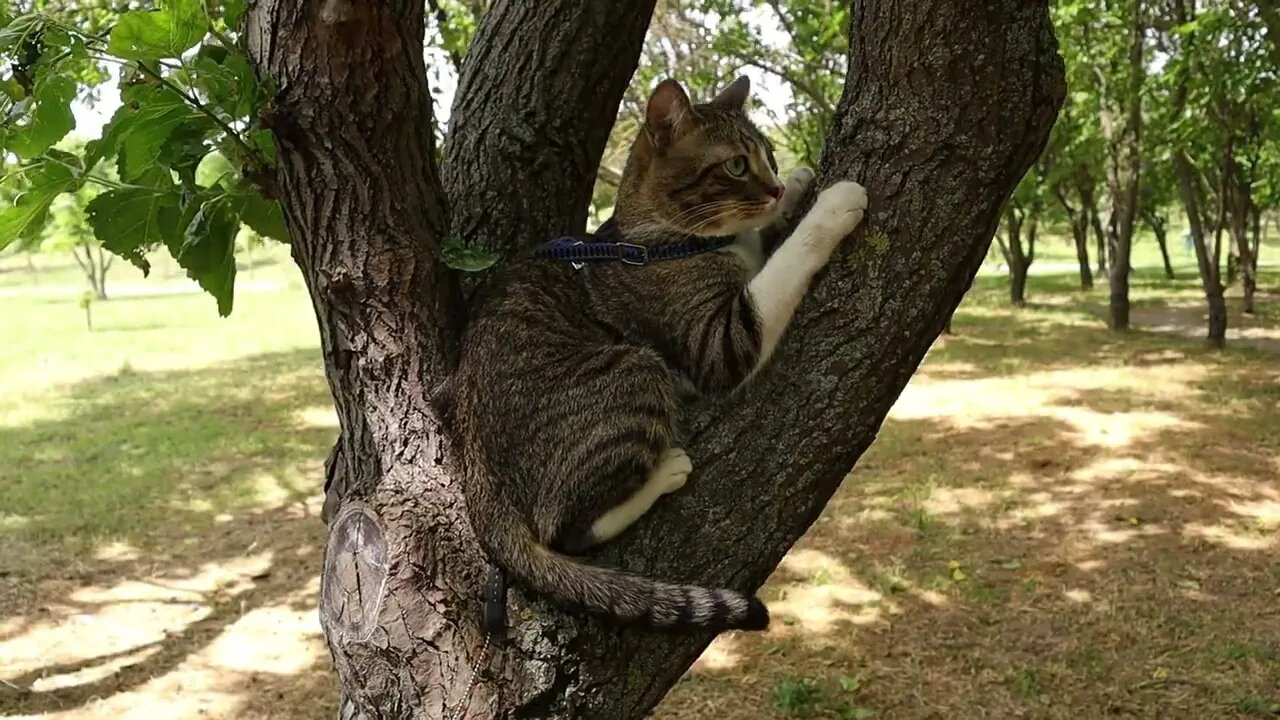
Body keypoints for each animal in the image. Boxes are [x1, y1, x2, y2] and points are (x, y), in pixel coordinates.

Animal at [440, 75, 870, 630]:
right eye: (736, 165)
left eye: (769, 157)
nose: (775, 186)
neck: (662, 240)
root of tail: (480, 476)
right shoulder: (717, 343)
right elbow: (786, 262)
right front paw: (832, 204)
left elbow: (765, 238)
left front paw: (796, 187)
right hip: (634, 371)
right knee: (564, 529)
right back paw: (665, 473)